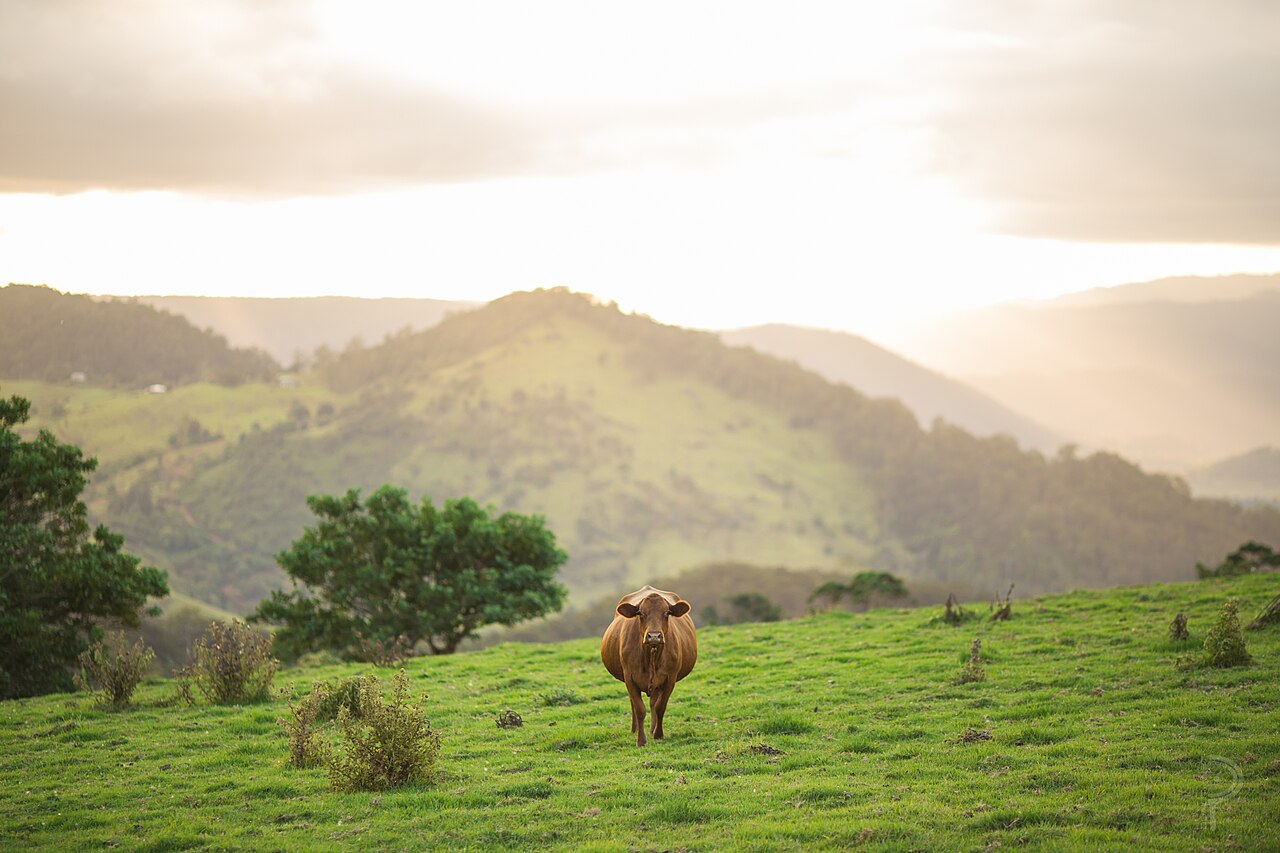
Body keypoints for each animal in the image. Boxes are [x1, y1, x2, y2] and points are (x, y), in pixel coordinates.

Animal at [600, 585, 697, 746]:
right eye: (640, 613)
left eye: (667, 613)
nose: (654, 636)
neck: (650, 656)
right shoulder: (629, 677)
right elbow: (639, 709)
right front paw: (641, 740)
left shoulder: (670, 678)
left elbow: (660, 707)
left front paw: (658, 734)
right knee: (633, 703)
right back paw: (634, 729)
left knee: (653, 703)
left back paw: (652, 729)